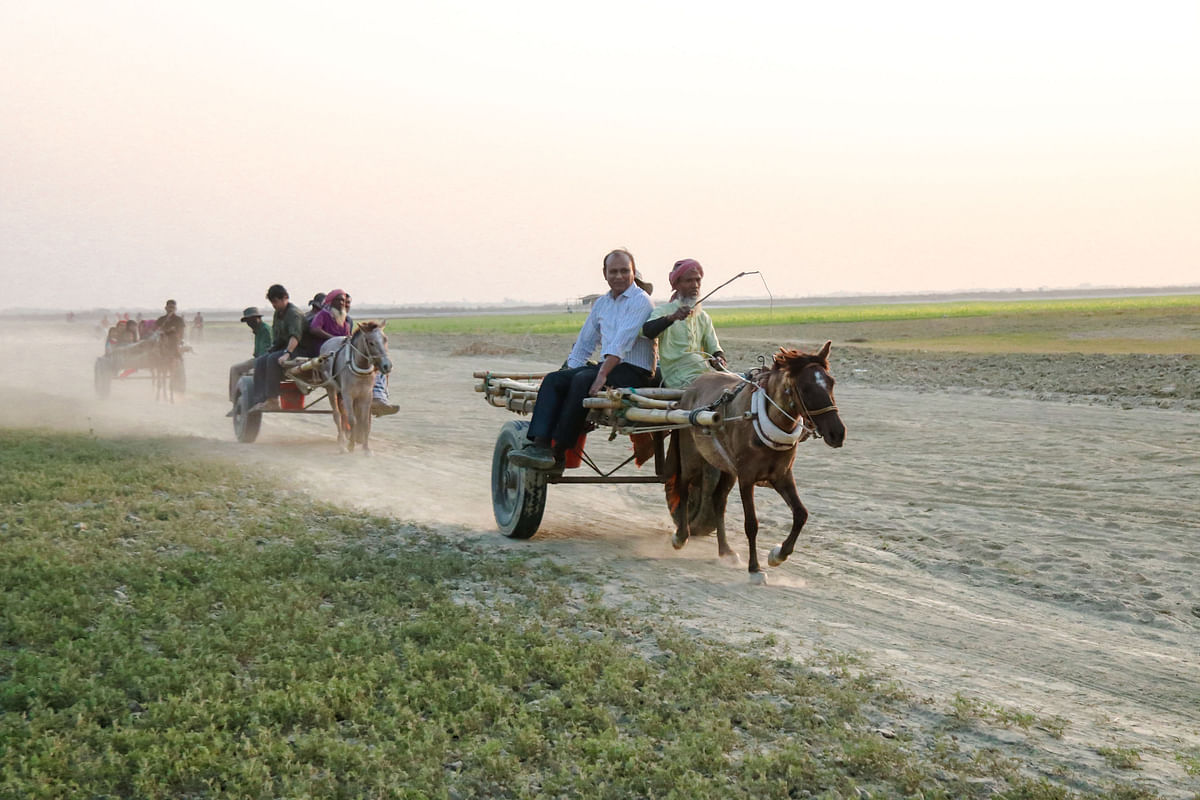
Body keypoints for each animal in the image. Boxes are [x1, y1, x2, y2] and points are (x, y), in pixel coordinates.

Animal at [667, 340, 844, 585]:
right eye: (806, 389)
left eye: (831, 383)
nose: (838, 433)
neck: (761, 418)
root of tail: (691, 387)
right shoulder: (746, 478)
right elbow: (751, 524)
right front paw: (755, 568)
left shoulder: (782, 475)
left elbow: (801, 514)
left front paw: (778, 554)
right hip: (692, 456)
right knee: (683, 489)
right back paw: (681, 536)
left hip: (726, 468)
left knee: (718, 500)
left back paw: (726, 551)